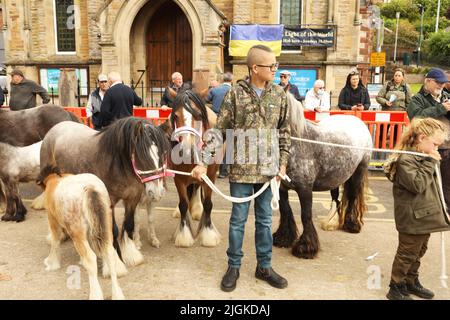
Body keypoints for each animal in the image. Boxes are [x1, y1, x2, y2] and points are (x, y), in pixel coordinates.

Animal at [37, 165, 126, 300]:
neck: (56, 179)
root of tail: (89, 188)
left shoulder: (53, 220)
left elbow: (55, 241)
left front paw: (51, 263)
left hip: (76, 230)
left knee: (91, 258)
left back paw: (95, 294)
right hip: (105, 225)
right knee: (109, 252)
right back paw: (117, 294)